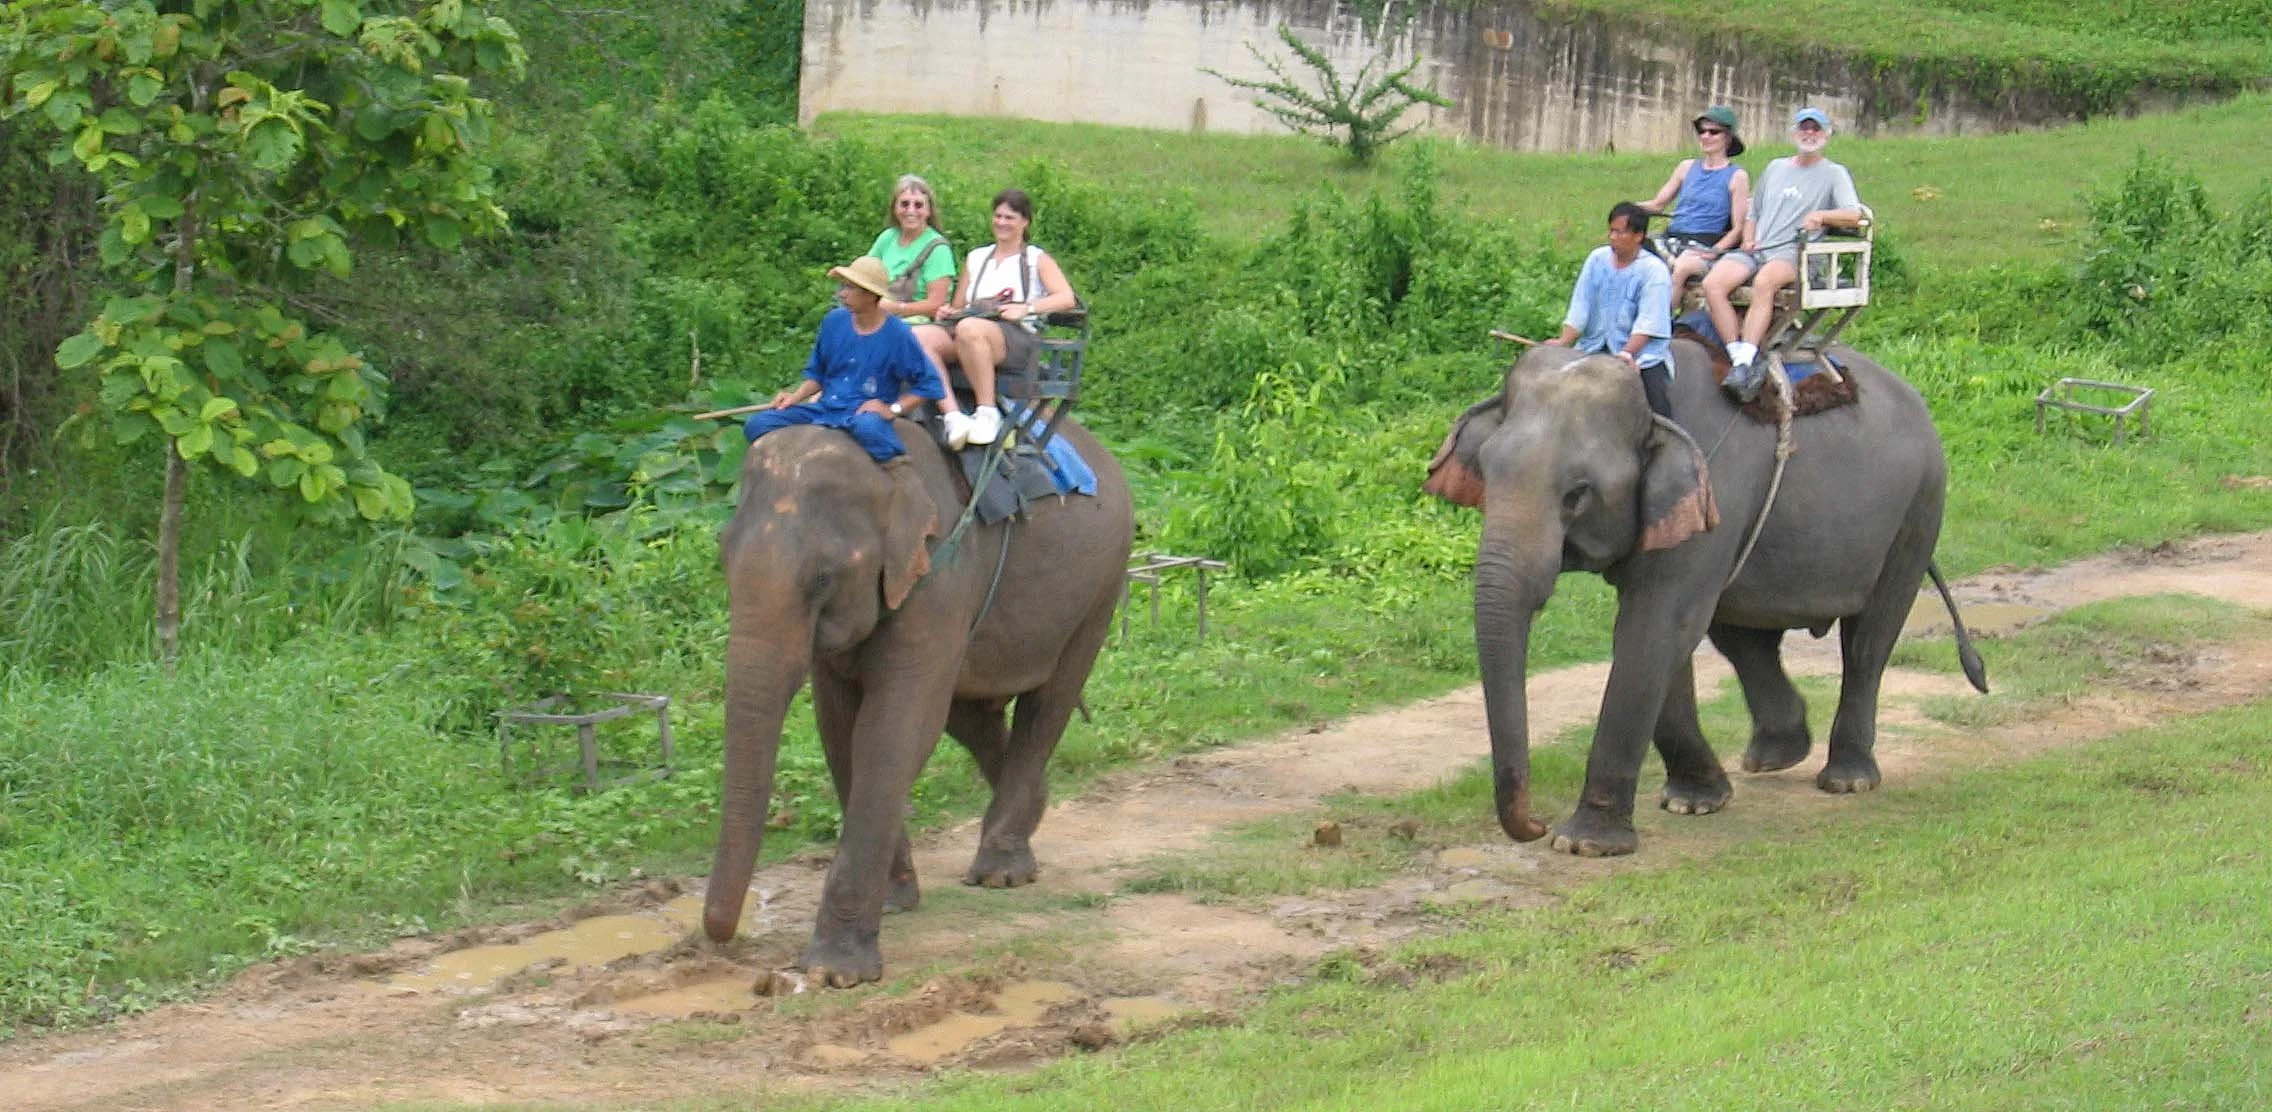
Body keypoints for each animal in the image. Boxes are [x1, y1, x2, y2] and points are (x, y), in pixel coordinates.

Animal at [702, 417, 1133, 986]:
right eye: (722, 561)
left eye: (822, 578)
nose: (720, 939)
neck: (886, 473)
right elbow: (840, 729)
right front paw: (893, 903)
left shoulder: (939, 576)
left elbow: (893, 729)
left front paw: (835, 972)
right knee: (969, 712)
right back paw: (1031, 815)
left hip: (1101, 585)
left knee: (1048, 702)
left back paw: (1000, 872)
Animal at [1425, 341, 1985, 857]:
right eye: (1487, 473)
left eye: (1577, 494)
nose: (1535, 825)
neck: (1652, 401)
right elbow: (1662, 633)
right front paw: (1694, 802)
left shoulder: (1716, 490)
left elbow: (1655, 625)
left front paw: (1585, 843)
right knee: (1741, 634)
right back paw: (1775, 755)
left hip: (1919, 508)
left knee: (1869, 638)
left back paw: (1847, 779)